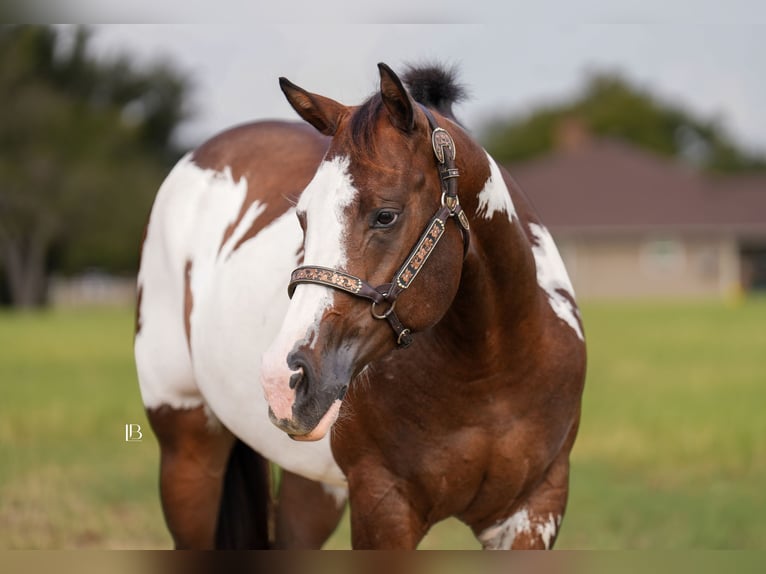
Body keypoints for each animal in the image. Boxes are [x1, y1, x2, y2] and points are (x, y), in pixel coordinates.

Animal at [134, 63, 586, 549]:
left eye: (385, 215)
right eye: (302, 218)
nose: (282, 378)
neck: (490, 374)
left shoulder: (535, 511)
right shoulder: (382, 504)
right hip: (187, 450)